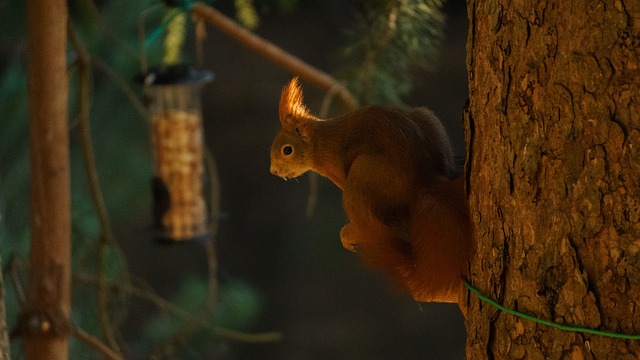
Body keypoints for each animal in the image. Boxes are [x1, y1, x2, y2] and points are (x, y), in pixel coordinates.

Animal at [268, 77, 472, 308]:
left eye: (287, 150)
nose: (273, 171)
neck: (320, 143)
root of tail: (424, 179)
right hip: (428, 118)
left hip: (361, 176)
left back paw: (353, 233)